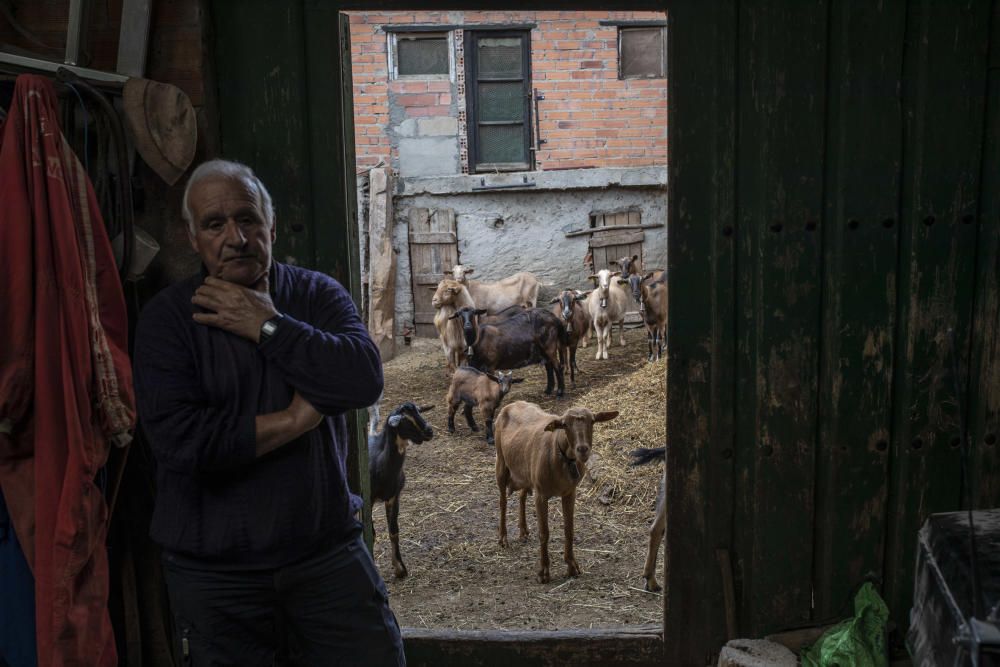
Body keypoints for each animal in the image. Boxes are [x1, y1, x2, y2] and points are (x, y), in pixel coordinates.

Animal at [368, 402, 430, 580]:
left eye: (419, 412)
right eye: (404, 421)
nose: (429, 431)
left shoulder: (394, 497)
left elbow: (394, 531)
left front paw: (400, 568)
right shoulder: (368, 499)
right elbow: (371, 533)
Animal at [496, 402, 620, 584]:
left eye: (592, 421)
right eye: (565, 424)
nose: (583, 449)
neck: (560, 453)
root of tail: (513, 403)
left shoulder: (569, 492)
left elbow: (569, 529)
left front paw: (572, 566)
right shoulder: (541, 494)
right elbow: (544, 533)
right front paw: (544, 572)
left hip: (526, 471)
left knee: (522, 495)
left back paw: (524, 531)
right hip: (501, 462)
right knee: (502, 502)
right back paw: (503, 538)